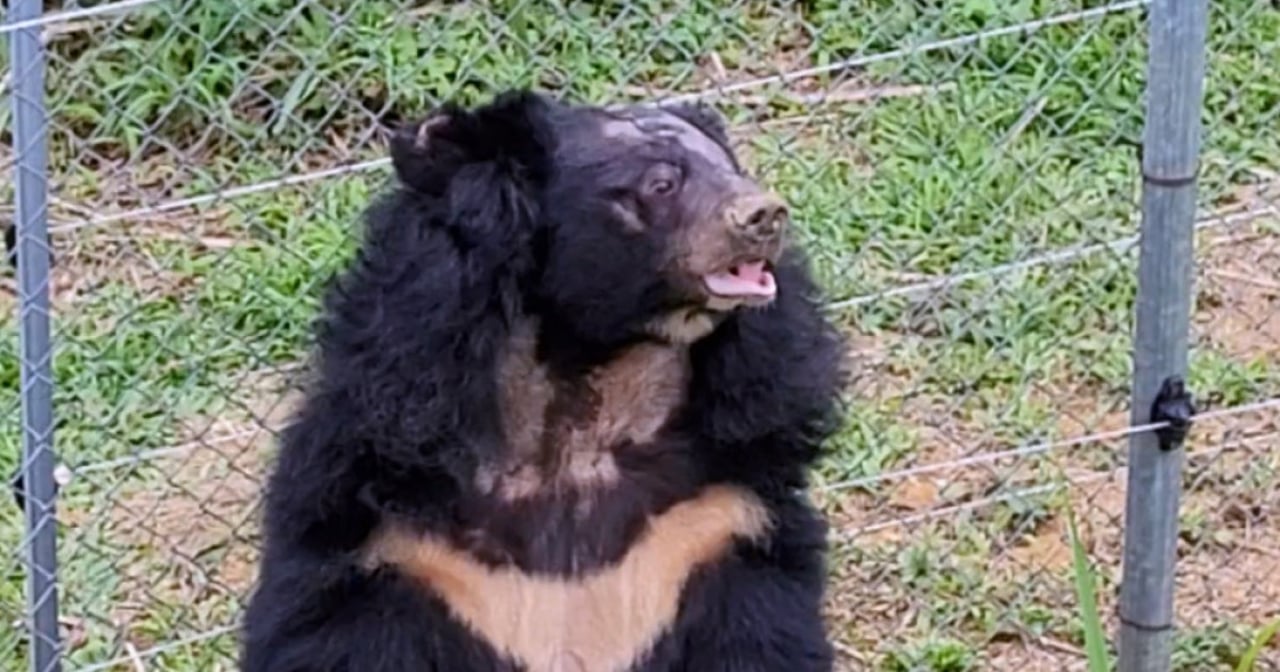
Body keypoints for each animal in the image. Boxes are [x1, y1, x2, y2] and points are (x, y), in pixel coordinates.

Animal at [240, 88, 849, 670]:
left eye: (732, 168)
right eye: (661, 183)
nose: (765, 214)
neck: (572, 399)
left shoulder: (716, 524)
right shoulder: (388, 544)